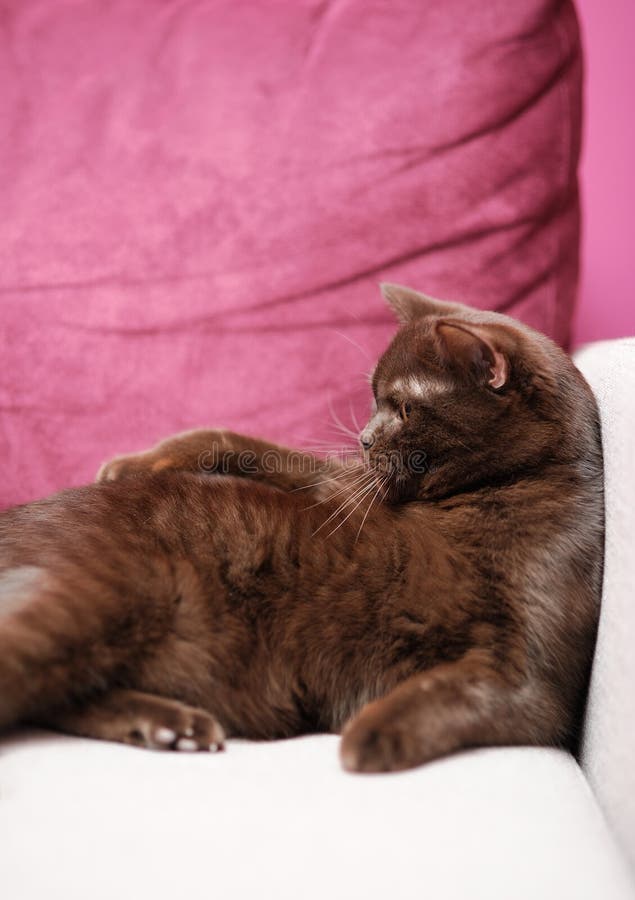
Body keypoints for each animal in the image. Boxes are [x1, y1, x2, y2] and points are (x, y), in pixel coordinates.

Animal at [0, 284, 604, 768]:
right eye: (374, 399)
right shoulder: (345, 489)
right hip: (92, 598)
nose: (364, 438)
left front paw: (368, 735)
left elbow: (450, 691)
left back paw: (171, 727)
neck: (487, 496)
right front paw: (138, 461)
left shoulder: (532, 676)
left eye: (404, 408)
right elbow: (256, 449)